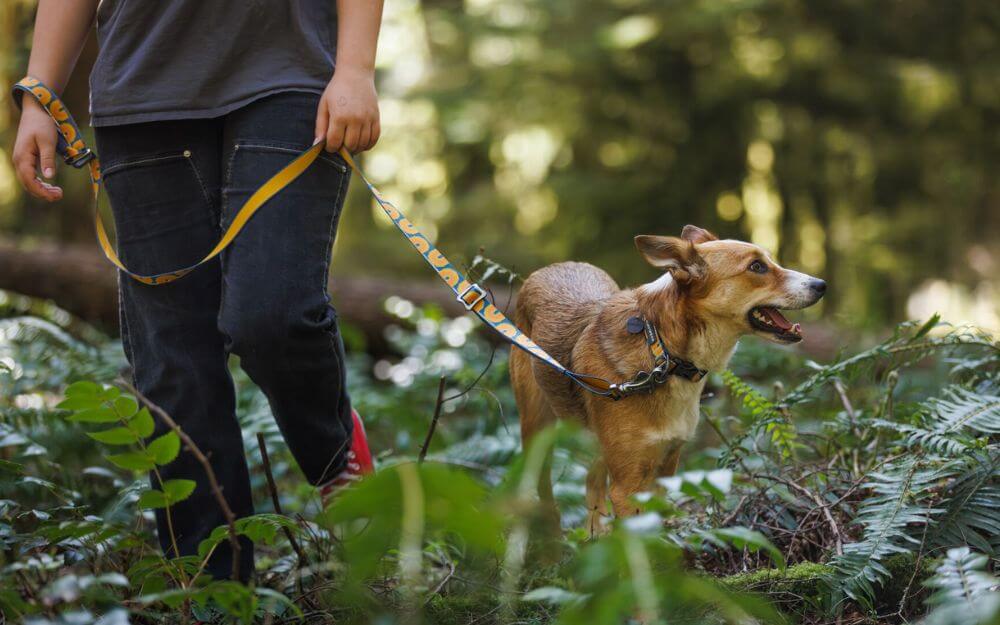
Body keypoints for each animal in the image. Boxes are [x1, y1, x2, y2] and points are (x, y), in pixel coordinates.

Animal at [512, 222, 824, 532]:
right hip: (536, 427)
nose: (821, 285)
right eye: (756, 266)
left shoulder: (666, 467)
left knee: (592, 483)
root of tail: (553, 266)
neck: (662, 351)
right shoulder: (627, 486)